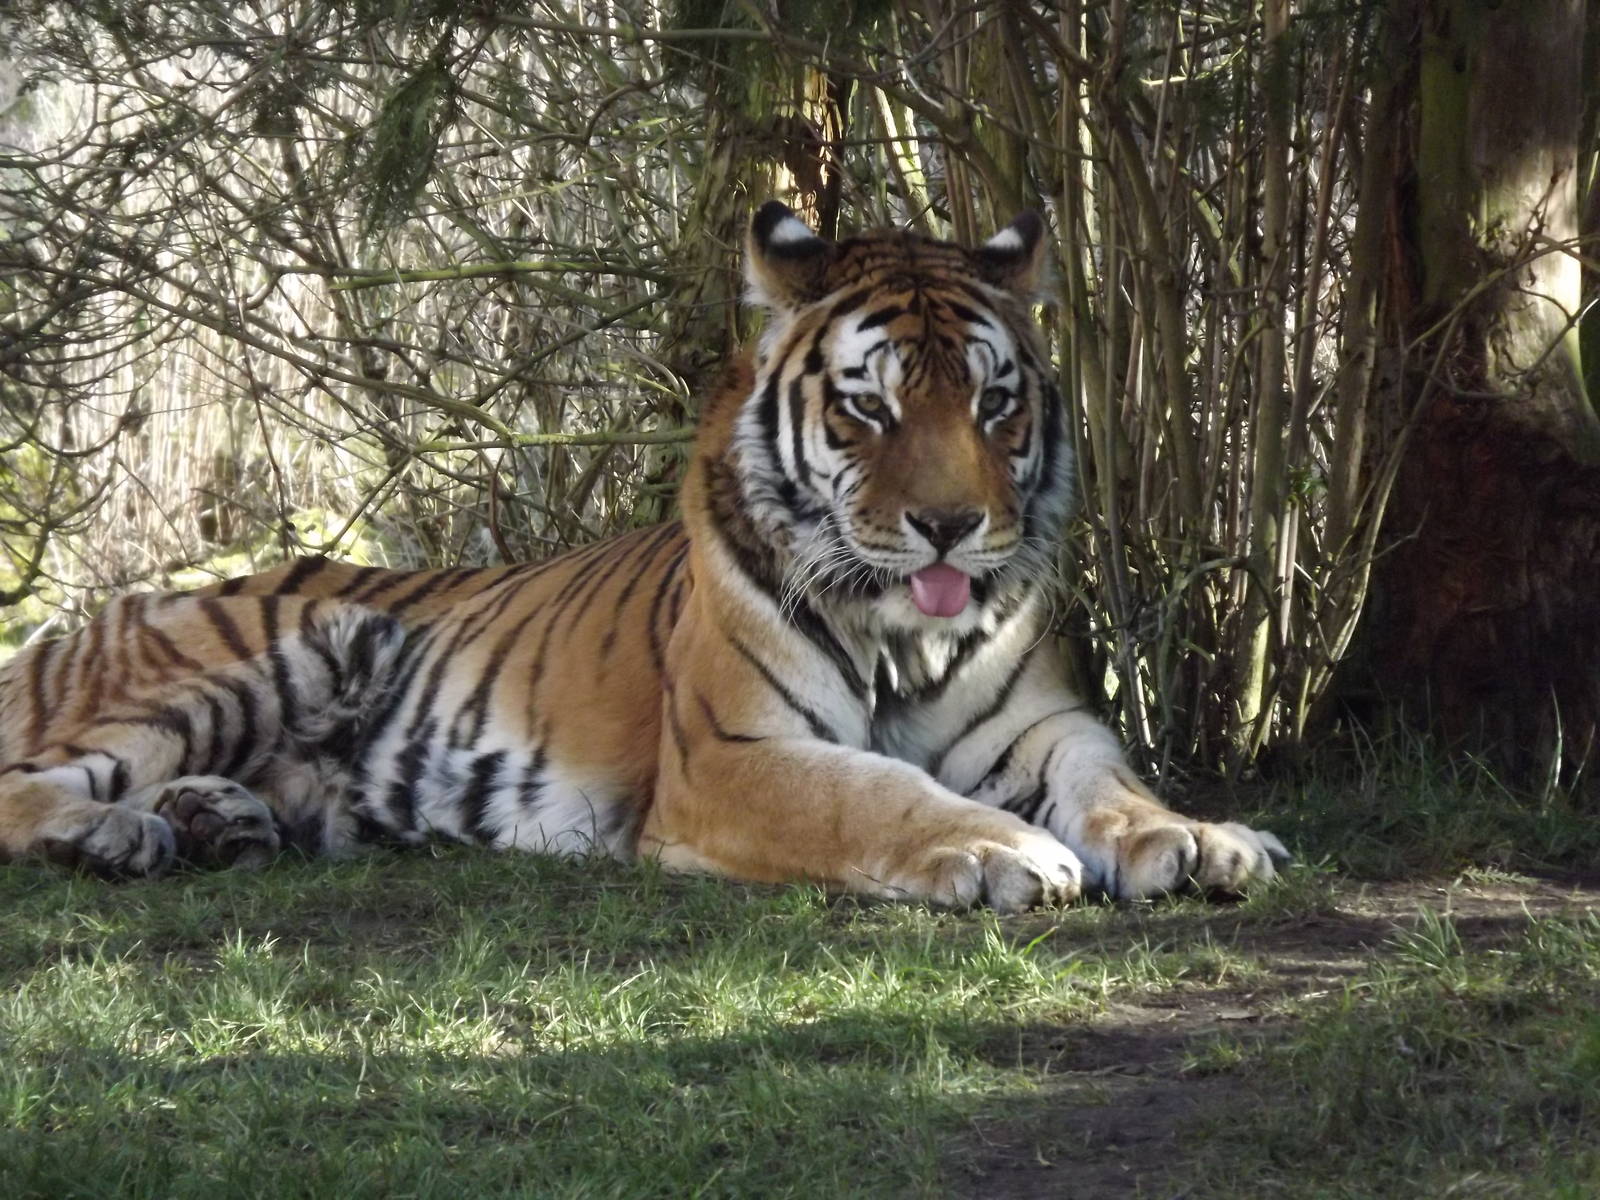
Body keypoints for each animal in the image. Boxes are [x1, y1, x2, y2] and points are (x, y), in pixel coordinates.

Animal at [0, 203, 1287, 911]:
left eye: (994, 404)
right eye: (867, 408)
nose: (950, 525)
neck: (903, 635)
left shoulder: (1044, 727)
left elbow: (1112, 784)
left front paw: (1195, 838)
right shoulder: (732, 755)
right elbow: (874, 794)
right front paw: (996, 847)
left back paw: (216, 821)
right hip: (270, 650)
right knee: (26, 788)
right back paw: (120, 833)